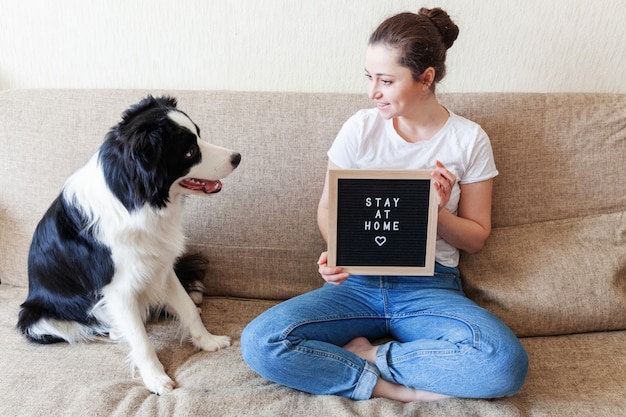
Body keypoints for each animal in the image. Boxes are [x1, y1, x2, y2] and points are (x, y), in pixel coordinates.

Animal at [16, 95, 241, 394]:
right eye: (190, 151)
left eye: (199, 134)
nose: (237, 157)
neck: (136, 199)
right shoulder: (118, 288)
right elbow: (141, 339)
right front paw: (156, 379)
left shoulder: (160, 264)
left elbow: (187, 307)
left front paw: (208, 341)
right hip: (38, 320)